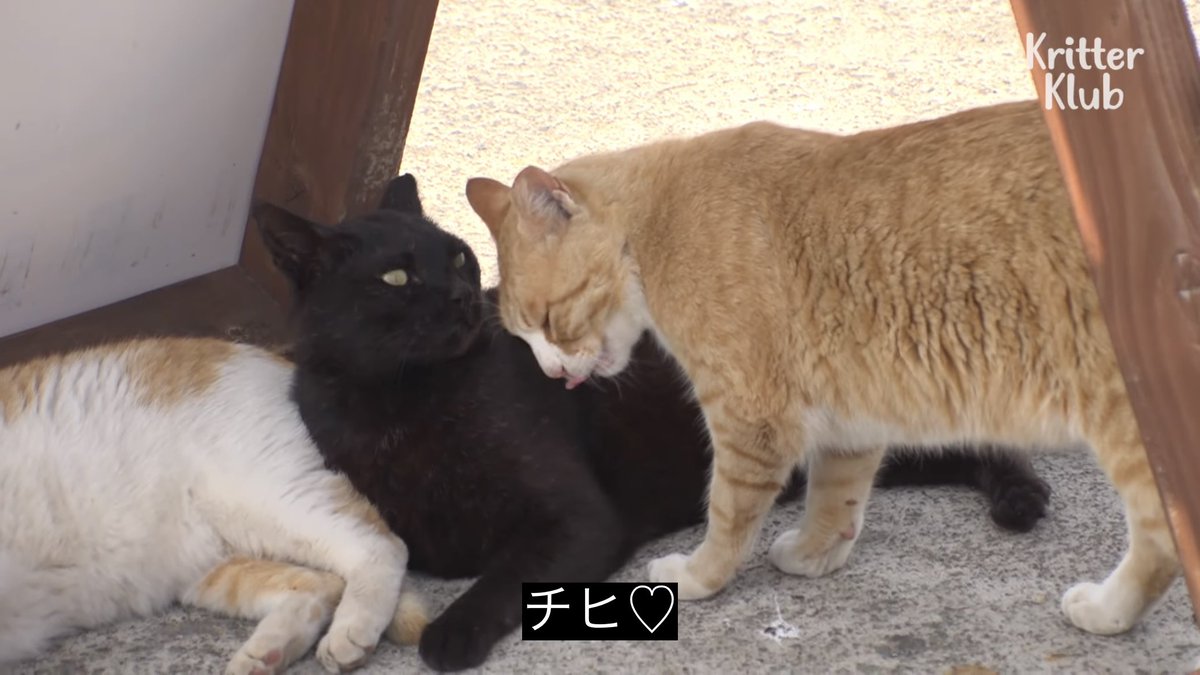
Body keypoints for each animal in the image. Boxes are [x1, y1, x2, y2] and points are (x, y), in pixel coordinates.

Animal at [0, 338, 426, 674]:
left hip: (270, 495)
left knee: (382, 544)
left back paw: (350, 631)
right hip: (204, 563)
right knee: (316, 584)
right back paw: (266, 655)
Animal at [257, 173, 1050, 672]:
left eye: (455, 257)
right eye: (396, 277)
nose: (461, 297)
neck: (406, 399)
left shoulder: (578, 517)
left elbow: (505, 573)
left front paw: (450, 634)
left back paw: (1021, 497)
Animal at [465, 99, 1180, 637]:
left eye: (550, 322)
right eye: (524, 339)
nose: (554, 375)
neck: (653, 227)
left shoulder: (750, 421)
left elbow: (726, 516)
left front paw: (698, 578)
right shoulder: (850, 414)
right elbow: (836, 494)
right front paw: (816, 554)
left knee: (1161, 543)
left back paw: (1108, 610)